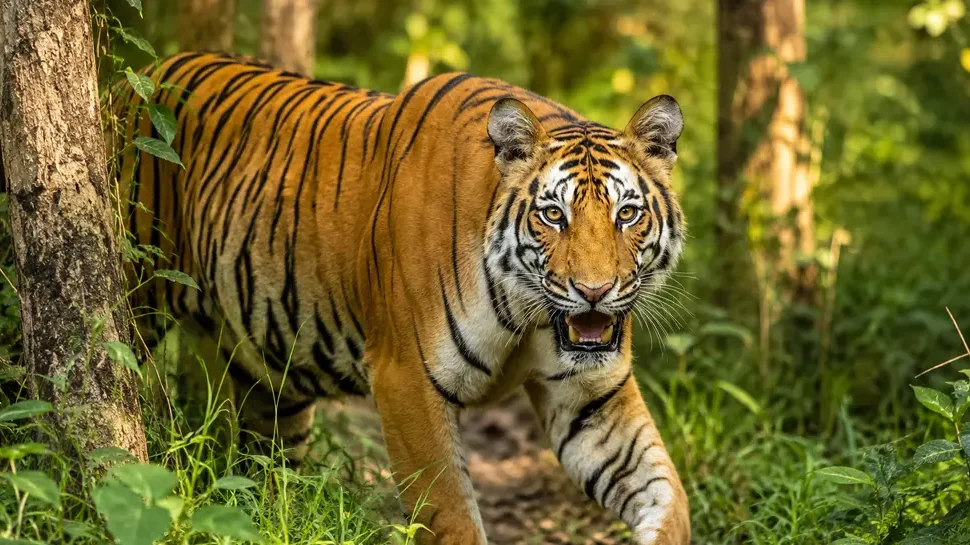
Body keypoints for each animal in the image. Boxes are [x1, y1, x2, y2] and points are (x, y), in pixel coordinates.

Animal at [116, 51, 690, 545]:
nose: (594, 292)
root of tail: (144, 71)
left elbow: (669, 498)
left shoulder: (591, 398)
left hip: (270, 381)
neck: (526, 311)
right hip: (140, 297)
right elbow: (451, 515)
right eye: (553, 215)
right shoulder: (407, 380)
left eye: (627, 214)